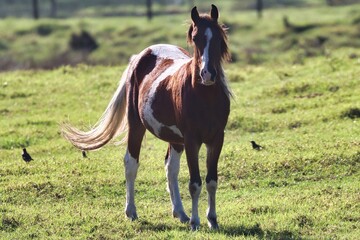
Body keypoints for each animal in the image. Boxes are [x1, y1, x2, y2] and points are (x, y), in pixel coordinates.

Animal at [62, 4, 231, 231]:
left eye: (218, 38)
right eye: (195, 38)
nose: (207, 74)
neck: (205, 96)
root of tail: (141, 55)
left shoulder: (216, 138)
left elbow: (211, 181)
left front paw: (212, 220)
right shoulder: (192, 140)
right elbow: (195, 183)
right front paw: (196, 222)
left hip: (175, 139)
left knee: (171, 169)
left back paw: (180, 213)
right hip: (137, 126)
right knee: (131, 164)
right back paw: (131, 211)